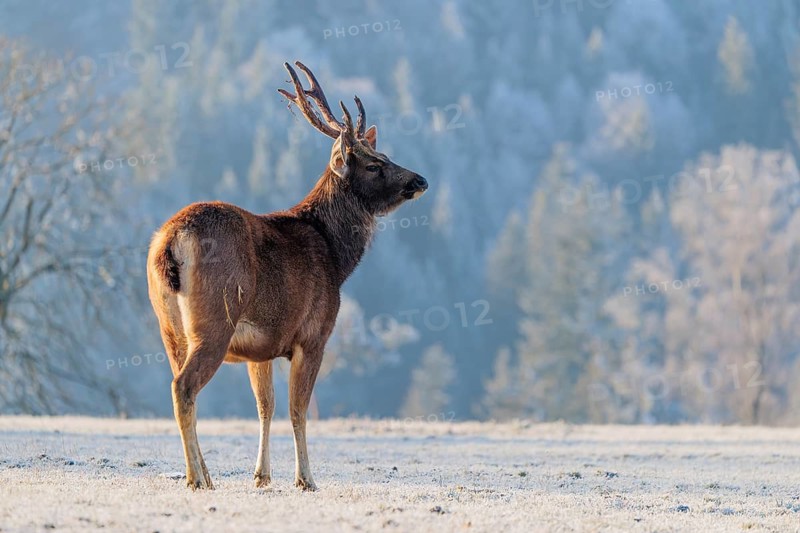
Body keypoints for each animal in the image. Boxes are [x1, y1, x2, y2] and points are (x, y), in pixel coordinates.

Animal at [146, 61, 428, 491]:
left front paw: (262, 476)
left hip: (168, 327)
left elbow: (266, 406)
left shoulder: (261, 346)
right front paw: (305, 478)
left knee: (179, 384)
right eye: (375, 164)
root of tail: (171, 241)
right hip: (215, 319)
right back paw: (198, 478)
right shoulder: (314, 334)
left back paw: (204, 473)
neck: (336, 257)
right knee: (184, 386)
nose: (420, 180)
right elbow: (298, 410)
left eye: (385, 153)